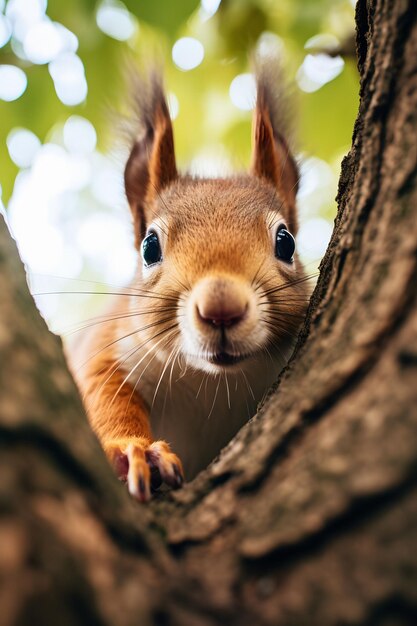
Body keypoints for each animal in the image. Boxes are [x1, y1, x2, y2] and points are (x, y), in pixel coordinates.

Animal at [68, 64, 308, 502]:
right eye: (149, 247)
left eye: (286, 242)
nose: (221, 308)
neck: (208, 382)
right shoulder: (106, 347)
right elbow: (104, 398)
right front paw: (136, 451)